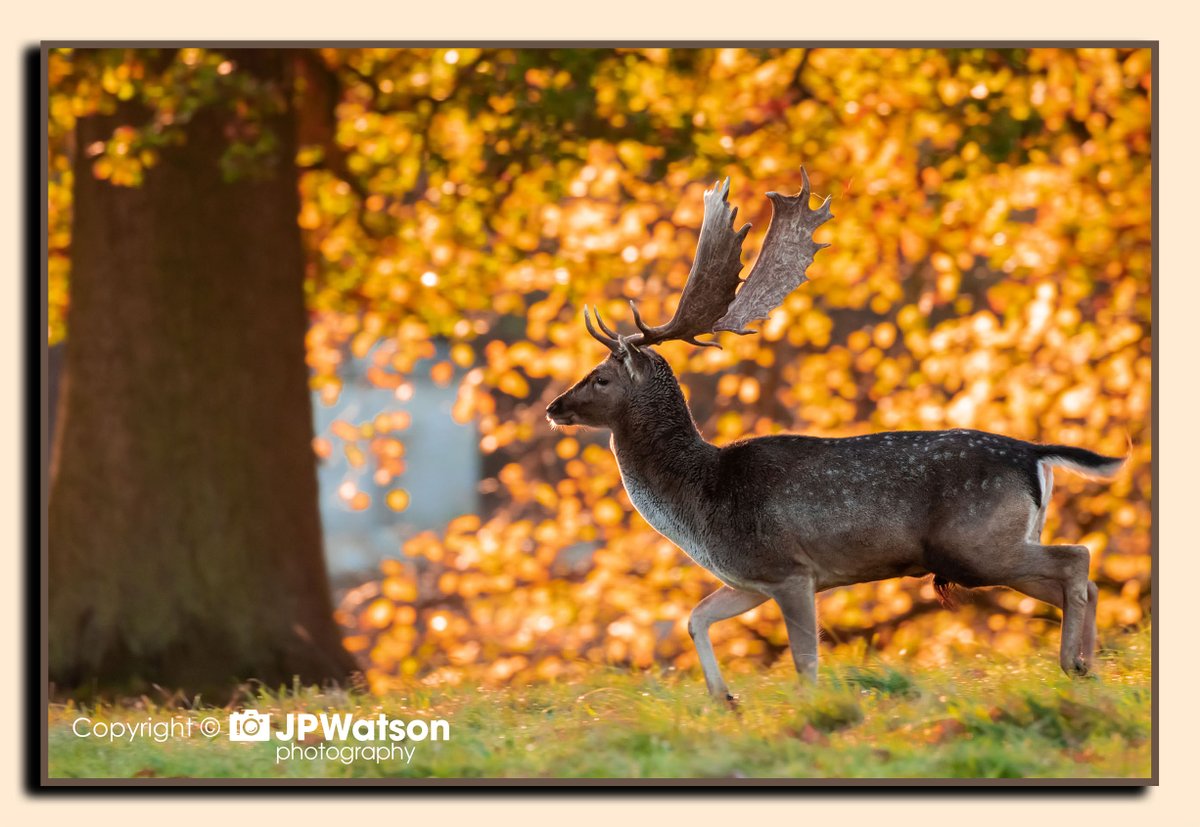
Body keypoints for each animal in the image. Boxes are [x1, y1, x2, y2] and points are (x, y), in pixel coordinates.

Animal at [545, 170, 1126, 706]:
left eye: (601, 377)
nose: (554, 407)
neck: (700, 502)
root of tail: (1034, 453)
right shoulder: (748, 577)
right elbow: (696, 617)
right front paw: (724, 696)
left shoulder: (789, 569)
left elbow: (805, 663)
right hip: (989, 548)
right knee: (1082, 579)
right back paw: (1088, 666)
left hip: (976, 544)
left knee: (1077, 558)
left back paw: (1073, 663)